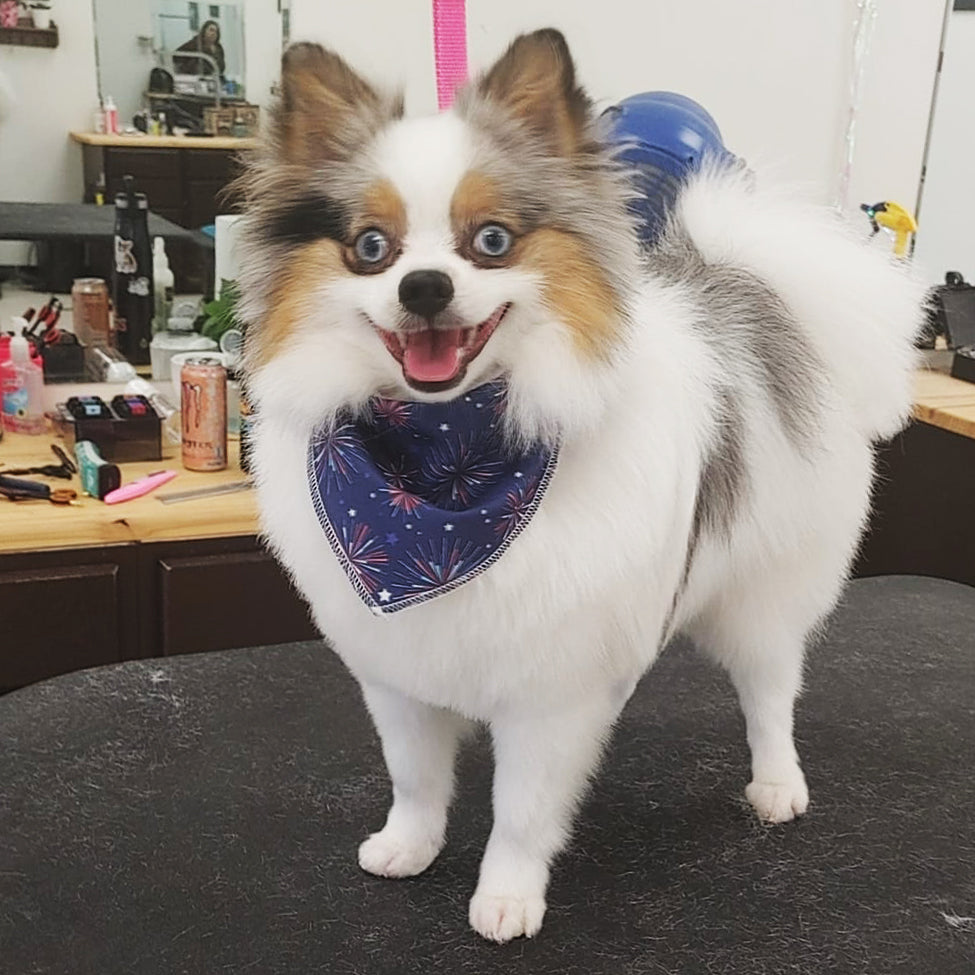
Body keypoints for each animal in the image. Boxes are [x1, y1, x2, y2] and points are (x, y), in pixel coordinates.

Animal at [234, 30, 924, 944]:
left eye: (491, 241)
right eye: (370, 249)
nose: (424, 286)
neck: (442, 477)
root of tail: (748, 297)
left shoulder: (547, 694)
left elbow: (522, 812)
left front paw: (505, 895)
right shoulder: (400, 673)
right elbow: (416, 778)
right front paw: (409, 844)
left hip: (761, 594)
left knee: (771, 690)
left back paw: (777, 783)